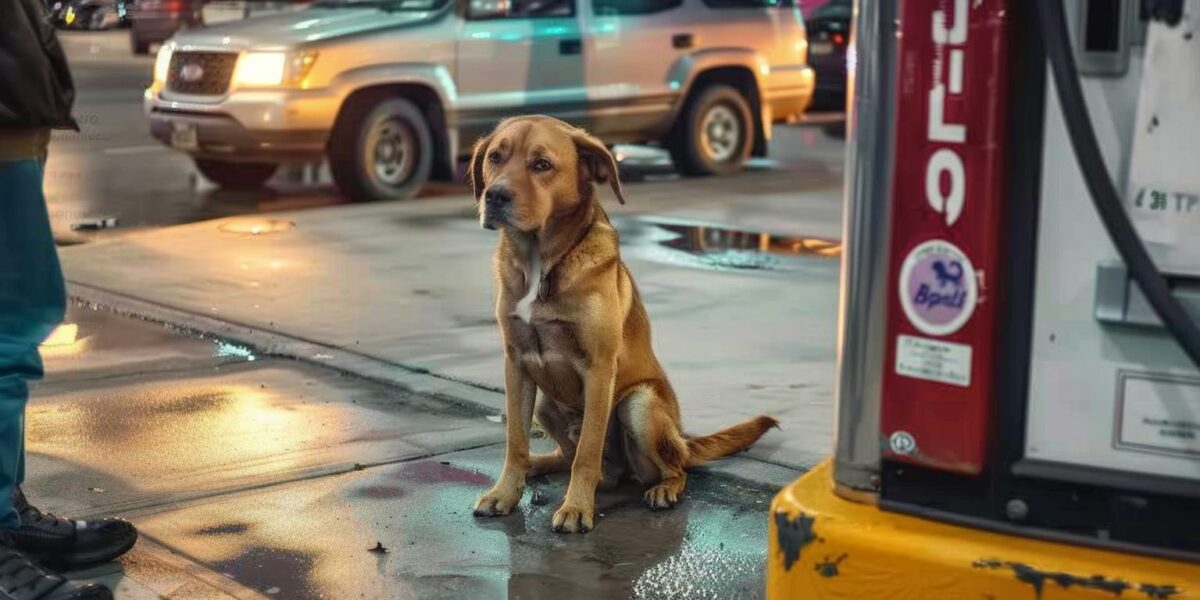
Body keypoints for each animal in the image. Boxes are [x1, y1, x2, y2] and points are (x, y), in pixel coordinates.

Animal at [468, 114, 777, 532]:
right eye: (495, 158)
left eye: (542, 165)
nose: (495, 196)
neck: (542, 263)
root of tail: (683, 440)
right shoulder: (516, 364)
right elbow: (515, 442)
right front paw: (504, 493)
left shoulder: (598, 369)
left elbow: (588, 452)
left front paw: (577, 508)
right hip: (545, 404)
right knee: (566, 456)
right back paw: (540, 463)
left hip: (639, 405)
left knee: (672, 469)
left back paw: (663, 489)